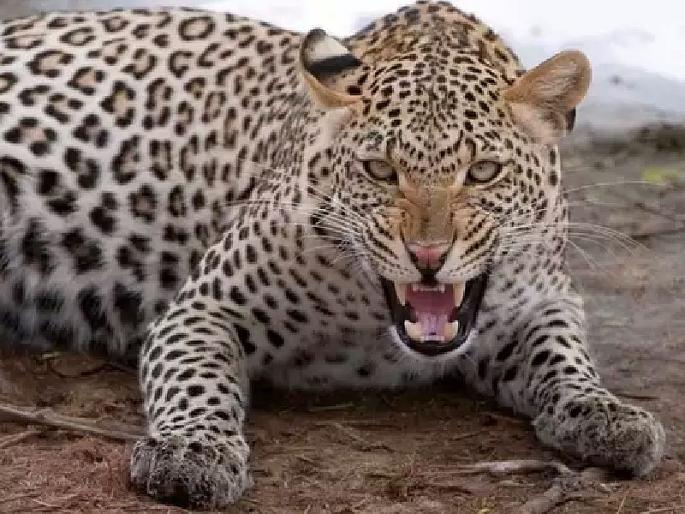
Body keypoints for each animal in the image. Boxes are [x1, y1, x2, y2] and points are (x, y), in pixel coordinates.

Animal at [0, 1, 665, 509]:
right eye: (379, 170)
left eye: (482, 172)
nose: (427, 254)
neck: (373, 327)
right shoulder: (202, 309)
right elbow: (197, 379)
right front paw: (193, 452)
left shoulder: (546, 299)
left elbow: (564, 356)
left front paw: (605, 413)